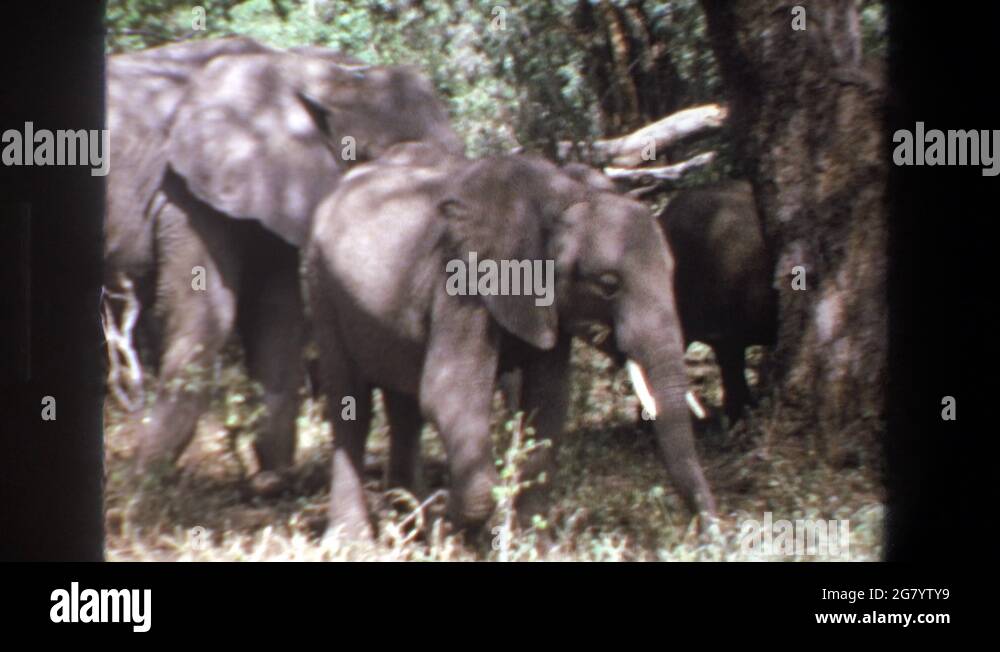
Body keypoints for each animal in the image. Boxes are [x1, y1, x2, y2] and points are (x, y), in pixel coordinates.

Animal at [105, 37, 464, 484]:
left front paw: (272, 482)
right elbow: (205, 314)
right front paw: (142, 483)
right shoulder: (185, 192)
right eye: (378, 158)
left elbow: (275, 314)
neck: (304, 69)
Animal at [305, 151, 716, 539]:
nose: (708, 531)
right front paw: (458, 526)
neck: (562, 196)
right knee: (352, 407)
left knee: (404, 406)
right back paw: (356, 540)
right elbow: (449, 394)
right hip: (322, 287)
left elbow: (548, 404)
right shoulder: (460, 283)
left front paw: (534, 544)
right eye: (608, 285)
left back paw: (416, 525)